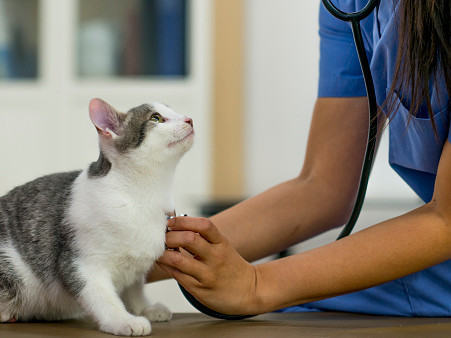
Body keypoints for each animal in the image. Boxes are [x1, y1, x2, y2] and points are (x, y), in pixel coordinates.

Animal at [0, 97, 194, 336]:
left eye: (175, 111)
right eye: (156, 118)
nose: (189, 119)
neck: (142, 196)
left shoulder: (135, 267)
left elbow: (134, 289)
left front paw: (144, 308)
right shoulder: (81, 263)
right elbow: (103, 297)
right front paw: (123, 320)